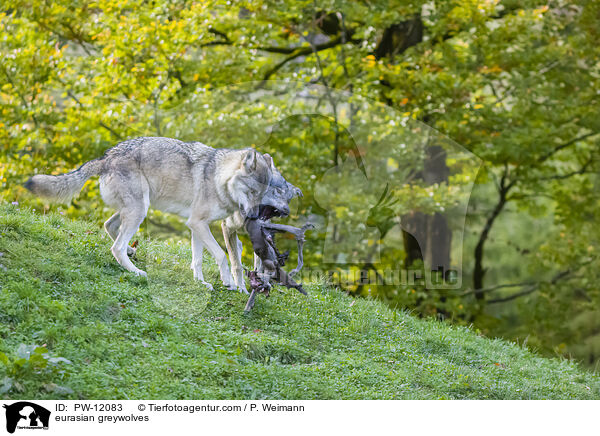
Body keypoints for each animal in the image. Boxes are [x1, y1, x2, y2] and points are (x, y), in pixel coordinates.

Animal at [24, 138, 274, 292]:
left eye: (262, 194)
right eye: (252, 192)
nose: (254, 217)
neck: (218, 179)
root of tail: (106, 157)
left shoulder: (195, 226)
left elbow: (198, 260)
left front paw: (200, 283)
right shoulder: (198, 223)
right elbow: (222, 256)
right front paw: (228, 282)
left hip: (136, 208)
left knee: (108, 226)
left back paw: (131, 251)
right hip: (139, 210)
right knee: (115, 247)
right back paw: (136, 272)